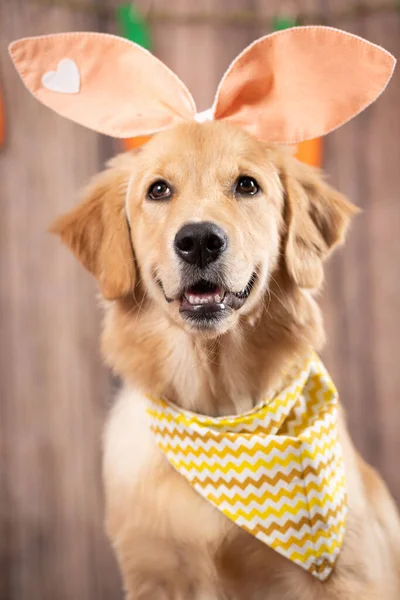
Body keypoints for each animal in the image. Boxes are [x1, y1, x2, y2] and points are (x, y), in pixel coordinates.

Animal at [50, 119, 400, 596]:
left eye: (247, 185)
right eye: (158, 190)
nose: (199, 240)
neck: (219, 411)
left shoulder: (348, 578)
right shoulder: (155, 572)